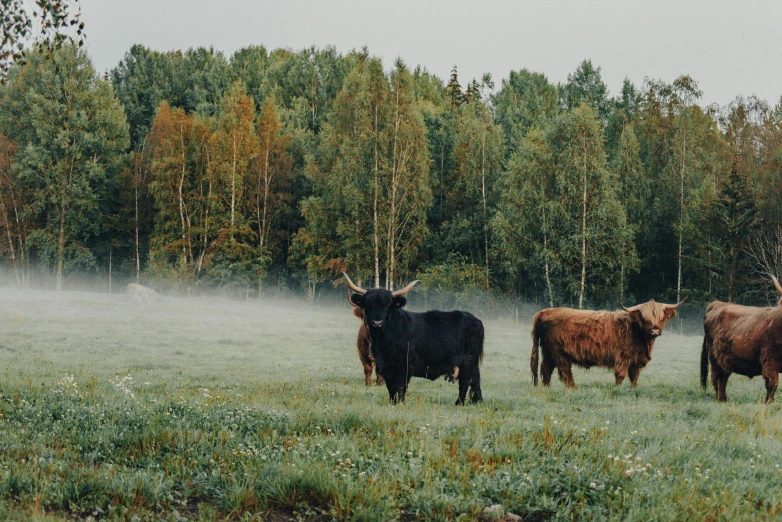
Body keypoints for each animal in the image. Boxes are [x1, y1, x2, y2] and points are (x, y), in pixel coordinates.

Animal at [532, 296, 688, 386]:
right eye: (645, 318)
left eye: (661, 318)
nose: (654, 331)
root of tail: (544, 311)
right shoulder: (623, 357)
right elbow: (620, 375)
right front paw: (618, 389)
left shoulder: (636, 360)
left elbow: (634, 376)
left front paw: (634, 389)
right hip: (558, 352)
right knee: (564, 371)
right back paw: (573, 388)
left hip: (548, 351)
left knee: (546, 369)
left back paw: (547, 387)